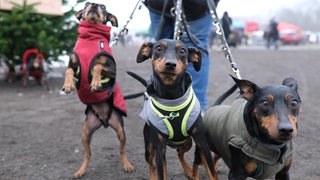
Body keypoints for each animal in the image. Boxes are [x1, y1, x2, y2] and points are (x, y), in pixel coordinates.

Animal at [61, 2, 134, 178]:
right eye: (86, 4)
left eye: (103, 6)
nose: (93, 4)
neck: (91, 37)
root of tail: (104, 121)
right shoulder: (73, 66)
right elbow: (68, 71)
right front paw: (68, 85)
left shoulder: (112, 69)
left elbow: (98, 66)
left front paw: (95, 83)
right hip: (85, 132)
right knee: (88, 154)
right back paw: (80, 171)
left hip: (120, 129)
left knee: (122, 150)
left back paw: (127, 165)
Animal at [130, 39, 218, 180]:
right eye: (158, 48)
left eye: (182, 51)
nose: (170, 64)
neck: (172, 99)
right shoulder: (159, 149)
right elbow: (161, 172)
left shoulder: (202, 142)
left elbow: (212, 172)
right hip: (149, 147)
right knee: (151, 164)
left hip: (187, 143)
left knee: (179, 152)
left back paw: (189, 171)